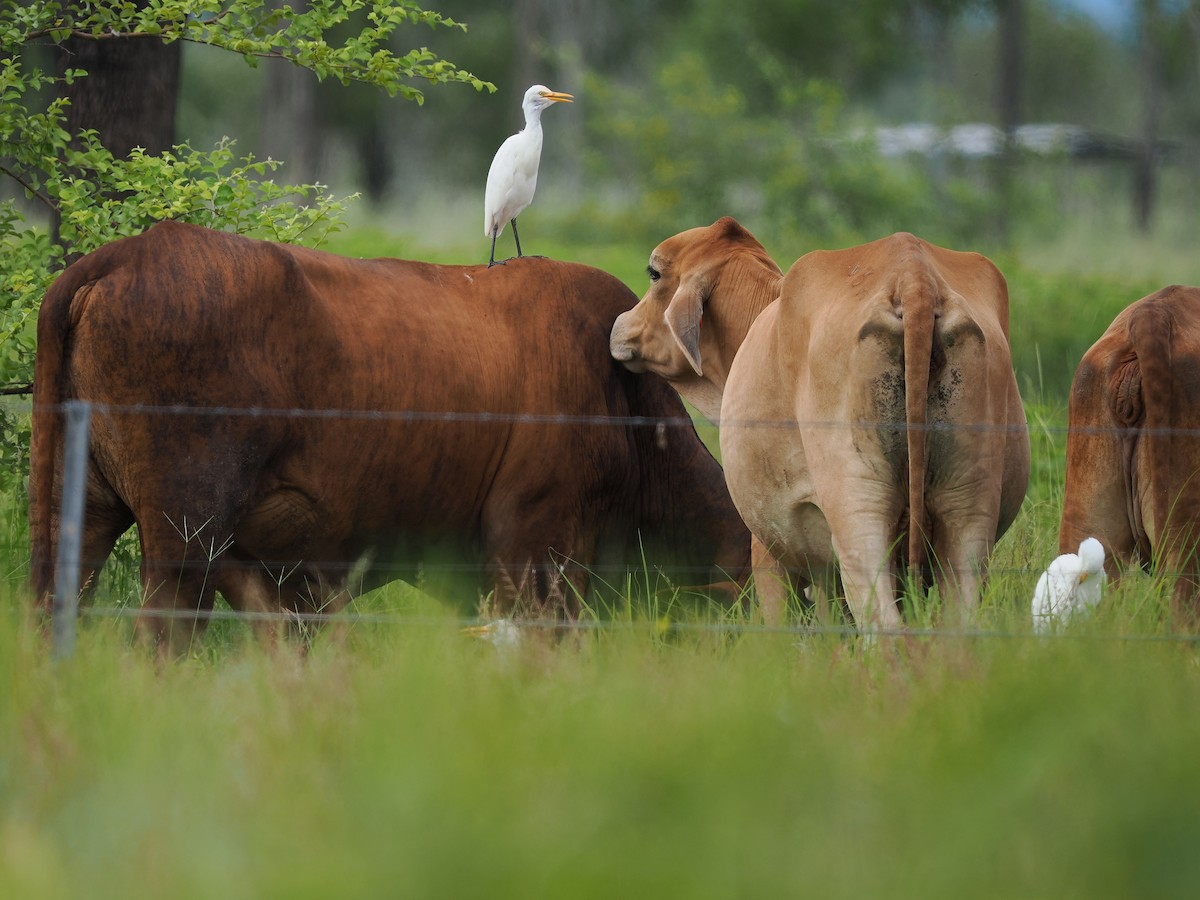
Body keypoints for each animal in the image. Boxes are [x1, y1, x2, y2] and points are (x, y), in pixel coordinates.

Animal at [30, 220, 748, 652]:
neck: (629, 408)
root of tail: (125, 255)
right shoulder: (537, 547)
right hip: (186, 535)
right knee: (162, 636)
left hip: (79, 513)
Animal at [609, 217, 1032, 628]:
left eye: (654, 274)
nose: (619, 325)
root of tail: (914, 277)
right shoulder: (823, 575)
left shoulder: (768, 546)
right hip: (967, 511)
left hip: (858, 511)